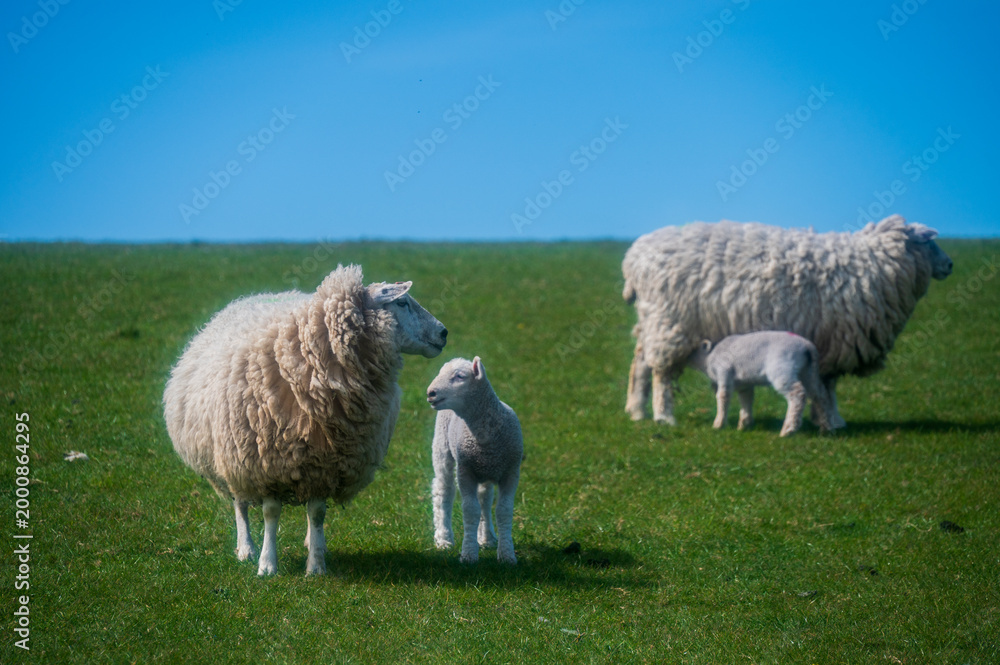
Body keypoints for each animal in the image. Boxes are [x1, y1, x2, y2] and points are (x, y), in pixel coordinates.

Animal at [163, 264, 448, 576]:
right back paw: (246, 548)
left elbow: (318, 513)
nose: (444, 332)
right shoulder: (265, 462)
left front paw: (316, 565)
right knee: (240, 503)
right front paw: (267, 564)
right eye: (402, 302)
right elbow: (270, 512)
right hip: (232, 454)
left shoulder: (326, 463)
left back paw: (311, 541)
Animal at [426, 356, 523, 564]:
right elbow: (470, 510)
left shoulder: (511, 471)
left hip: (485, 469)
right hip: (442, 448)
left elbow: (503, 510)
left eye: (460, 376)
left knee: (484, 499)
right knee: (443, 491)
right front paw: (469, 553)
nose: (431, 393)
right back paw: (444, 538)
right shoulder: (465, 471)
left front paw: (506, 554)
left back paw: (486, 537)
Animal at [687, 331, 838, 436]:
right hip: (808, 372)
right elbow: (746, 399)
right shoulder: (744, 383)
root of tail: (807, 347)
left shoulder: (724, 371)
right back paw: (827, 427)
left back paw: (788, 430)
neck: (708, 358)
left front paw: (718, 424)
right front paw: (744, 425)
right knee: (820, 395)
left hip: (782, 369)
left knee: (798, 393)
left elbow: (722, 396)